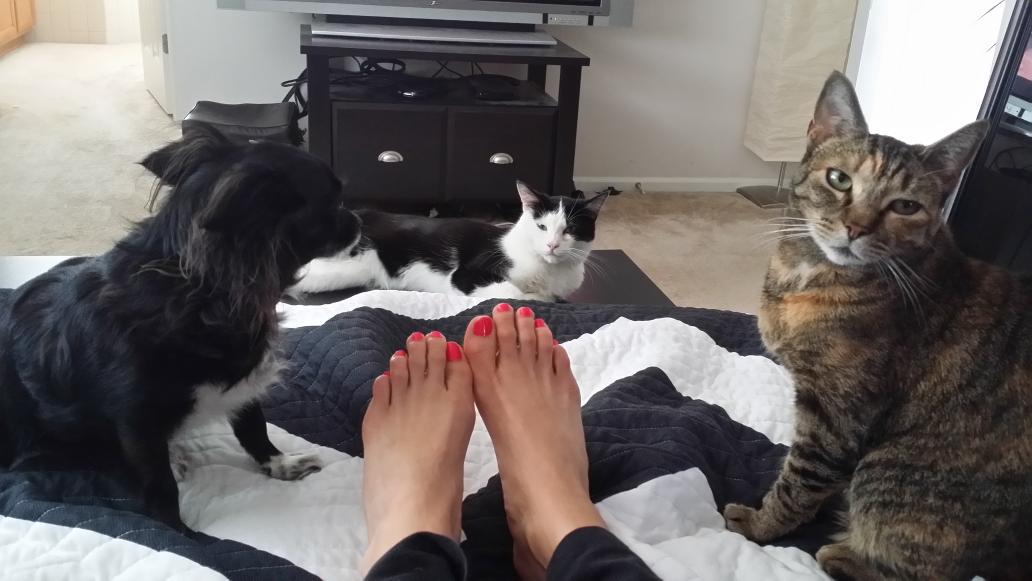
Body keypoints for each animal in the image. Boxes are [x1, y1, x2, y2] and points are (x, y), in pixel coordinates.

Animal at [0, 126, 362, 529]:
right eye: (333, 203)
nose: (358, 219)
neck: (196, 291)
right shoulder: (137, 423)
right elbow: (160, 486)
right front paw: (178, 532)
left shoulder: (244, 386)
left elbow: (254, 428)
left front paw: (279, 463)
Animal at [287, 182, 607, 301]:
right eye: (541, 227)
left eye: (570, 230)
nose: (552, 245)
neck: (548, 269)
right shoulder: (467, 273)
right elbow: (515, 295)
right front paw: (530, 297)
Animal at [722, 71, 1032, 581]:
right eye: (839, 179)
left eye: (905, 206)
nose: (857, 227)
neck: (808, 275)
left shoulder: (835, 416)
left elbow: (798, 482)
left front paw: (759, 524)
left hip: (886, 471)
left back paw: (842, 553)